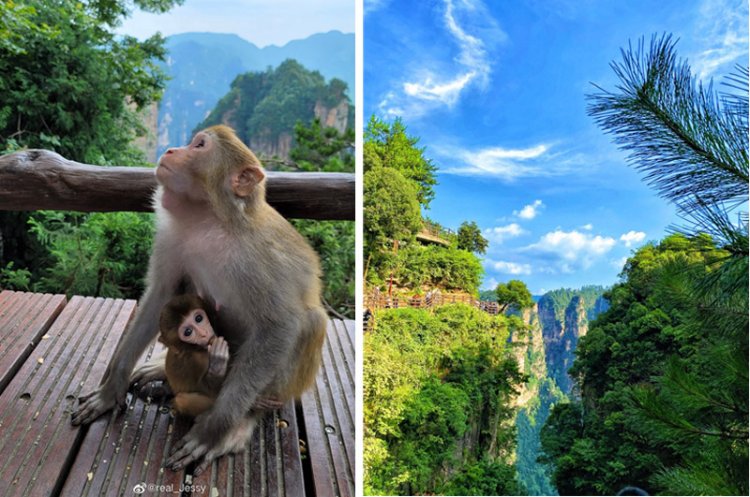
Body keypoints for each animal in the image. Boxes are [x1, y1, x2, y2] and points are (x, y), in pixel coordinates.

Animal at [72, 125, 328, 472]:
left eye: (200, 146)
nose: (171, 150)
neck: (209, 222)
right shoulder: (174, 235)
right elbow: (163, 295)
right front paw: (112, 388)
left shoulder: (257, 258)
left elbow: (280, 326)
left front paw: (213, 431)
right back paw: (162, 371)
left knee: (311, 322)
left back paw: (242, 420)